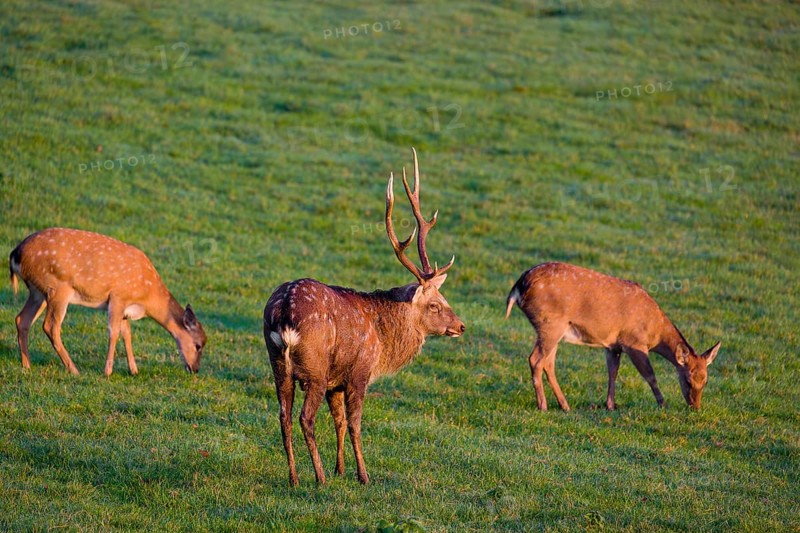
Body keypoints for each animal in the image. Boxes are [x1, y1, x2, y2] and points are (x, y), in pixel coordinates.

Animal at [9, 227, 207, 376]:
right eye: (198, 345)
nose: (195, 369)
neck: (146, 296)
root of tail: (15, 255)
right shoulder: (118, 296)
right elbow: (114, 332)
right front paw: (108, 371)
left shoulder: (125, 307)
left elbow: (127, 333)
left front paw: (134, 370)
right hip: (58, 288)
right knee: (50, 326)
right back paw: (74, 370)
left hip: (38, 292)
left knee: (22, 319)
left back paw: (27, 365)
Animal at [263, 148, 465, 486]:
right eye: (436, 305)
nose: (461, 326)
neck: (383, 339)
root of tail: (284, 312)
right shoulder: (359, 371)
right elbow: (356, 423)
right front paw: (362, 475)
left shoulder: (336, 381)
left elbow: (339, 421)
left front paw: (341, 468)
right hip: (314, 367)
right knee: (305, 417)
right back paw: (318, 477)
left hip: (278, 362)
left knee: (283, 415)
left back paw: (294, 478)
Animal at [505, 262, 721, 411]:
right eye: (688, 381)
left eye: (706, 381)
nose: (695, 407)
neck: (654, 331)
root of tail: (518, 287)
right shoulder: (634, 342)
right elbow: (650, 375)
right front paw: (662, 404)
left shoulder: (613, 345)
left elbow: (613, 372)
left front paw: (610, 404)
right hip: (550, 324)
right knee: (535, 359)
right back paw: (543, 406)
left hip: (552, 330)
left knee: (548, 364)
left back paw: (564, 405)